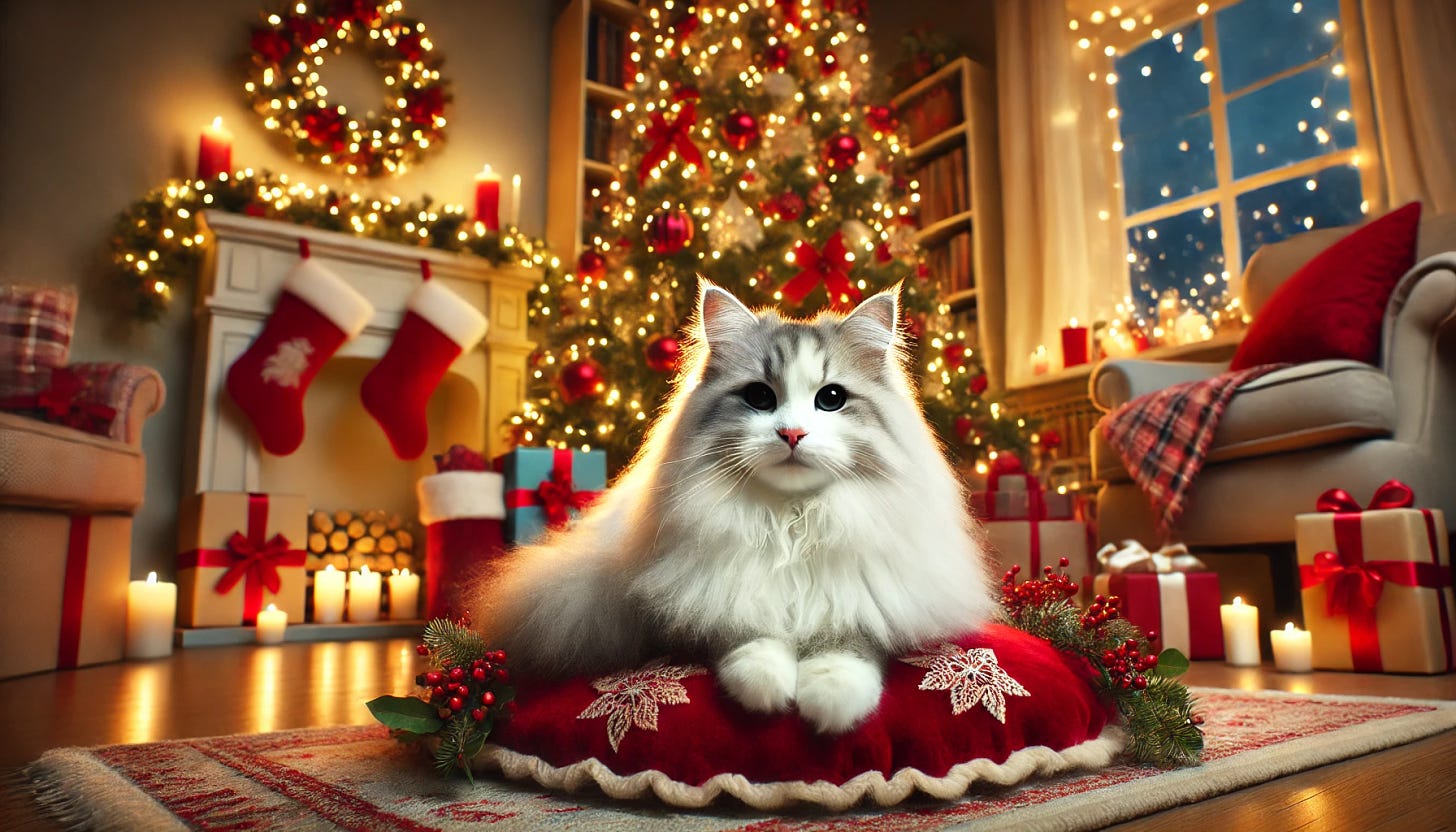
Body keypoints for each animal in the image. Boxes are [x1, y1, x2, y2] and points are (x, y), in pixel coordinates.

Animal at [471, 281, 995, 734]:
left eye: (831, 399)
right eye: (759, 396)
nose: (792, 434)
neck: (791, 522)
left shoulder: (866, 599)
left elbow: (848, 643)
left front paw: (830, 700)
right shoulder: (709, 596)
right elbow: (744, 635)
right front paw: (767, 687)